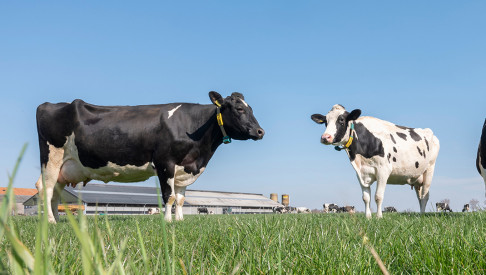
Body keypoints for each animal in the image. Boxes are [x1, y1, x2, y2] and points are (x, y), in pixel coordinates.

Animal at [34, 92, 266, 224]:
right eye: (239, 109)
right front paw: (168, 221)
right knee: (45, 189)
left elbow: (181, 198)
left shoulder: (185, 167)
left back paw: (56, 219)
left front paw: (180, 220)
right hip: (51, 159)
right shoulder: (165, 163)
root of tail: (48, 104)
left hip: (64, 167)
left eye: (251, 108)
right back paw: (50, 222)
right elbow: (169, 196)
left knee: (55, 192)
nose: (260, 131)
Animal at [312, 104, 440, 219]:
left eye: (341, 120)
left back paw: (422, 216)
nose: (325, 137)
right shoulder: (361, 173)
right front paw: (368, 217)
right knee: (420, 196)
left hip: (429, 169)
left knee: (425, 195)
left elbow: (378, 196)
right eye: (325, 122)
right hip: (417, 177)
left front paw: (379, 217)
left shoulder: (383, 170)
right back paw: (420, 214)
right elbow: (365, 198)